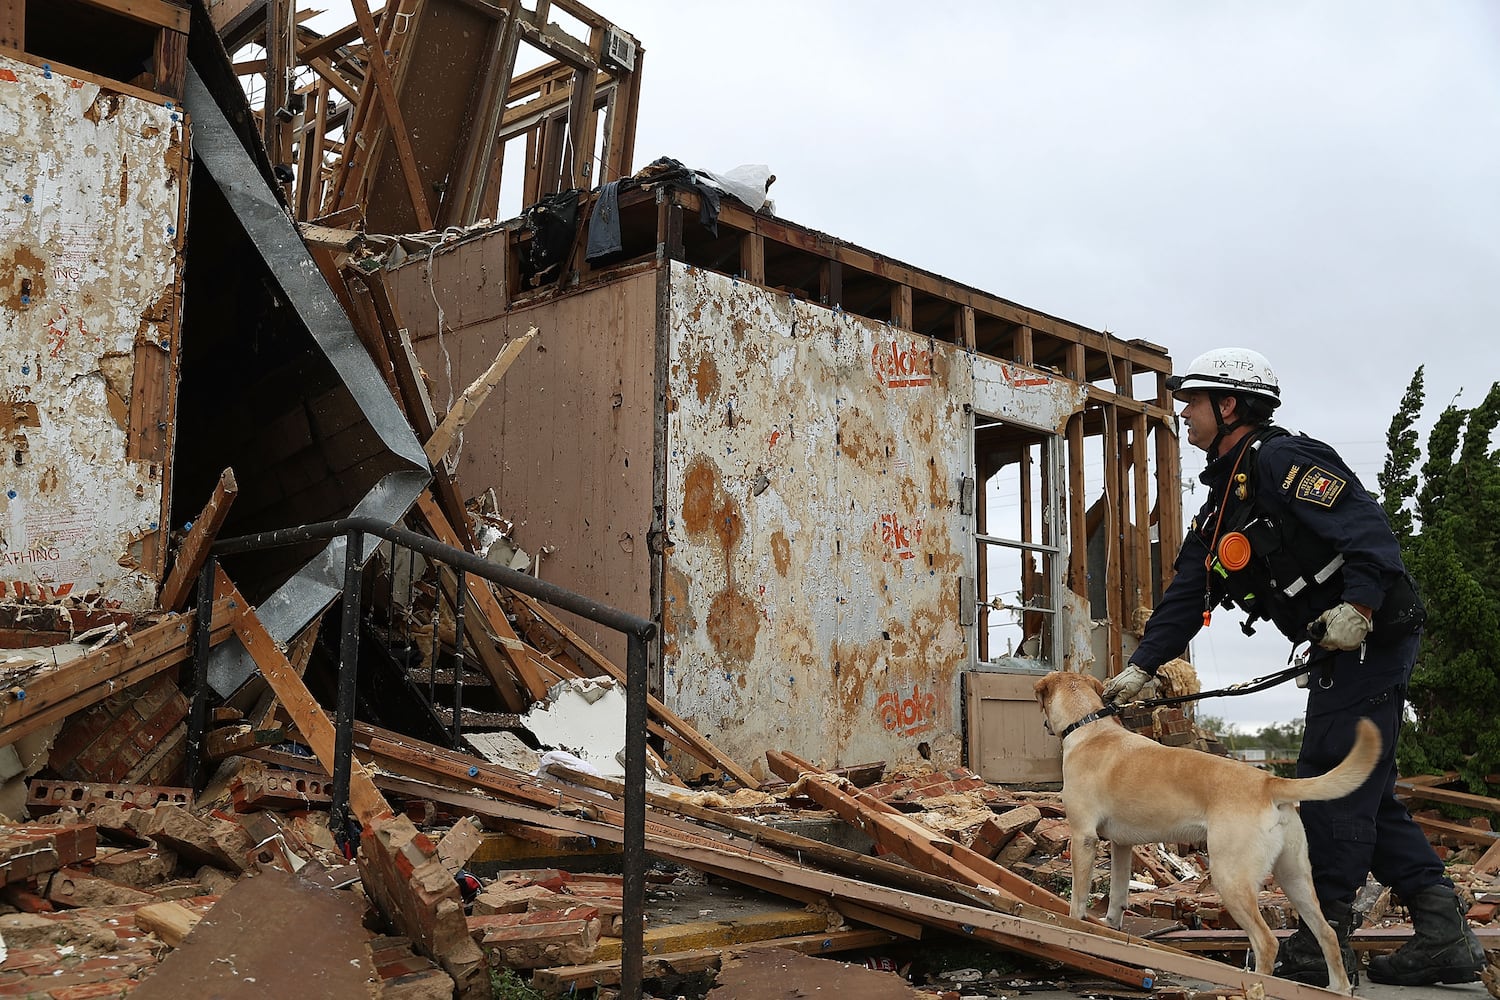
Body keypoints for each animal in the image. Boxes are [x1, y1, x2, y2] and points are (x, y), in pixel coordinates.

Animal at [1038, 671, 1374, 995]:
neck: (1088, 726)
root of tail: (1268, 782)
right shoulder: (1122, 846)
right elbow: (1118, 897)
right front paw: (1108, 932)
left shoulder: (1083, 837)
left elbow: (1078, 901)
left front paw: (1072, 932)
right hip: (1294, 876)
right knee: (1327, 932)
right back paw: (1337, 988)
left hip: (1231, 878)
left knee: (1267, 942)